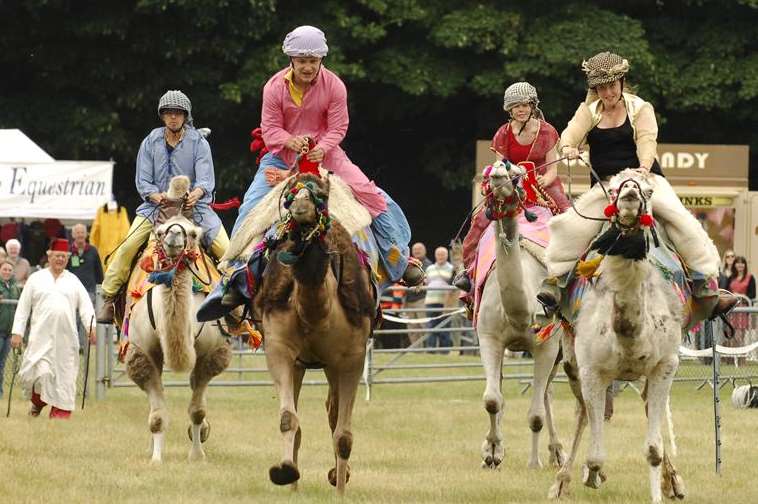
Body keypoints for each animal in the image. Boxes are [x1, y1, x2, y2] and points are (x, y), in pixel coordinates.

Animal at [124, 175, 233, 462]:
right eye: (161, 232)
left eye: (193, 233)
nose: (174, 235)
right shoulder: (142, 352)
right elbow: (157, 416)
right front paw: (156, 457)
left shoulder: (211, 352)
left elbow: (197, 410)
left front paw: (197, 455)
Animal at [254, 171, 376, 494]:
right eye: (289, 195)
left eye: (320, 195)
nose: (301, 206)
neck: (317, 314)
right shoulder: (279, 348)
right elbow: (288, 418)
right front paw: (285, 473)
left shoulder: (353, 356)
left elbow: (344, 434)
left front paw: (341, 492)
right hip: (302, 364)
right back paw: (295, 485)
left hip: (334, 364)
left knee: (334, 412)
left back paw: (337, 477)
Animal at [478, 160, 568, 468]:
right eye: (487, 173)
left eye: (516, 174)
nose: (498, 173)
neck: (520, 313)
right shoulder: (489, 337)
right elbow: (493, 399)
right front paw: (492, 453)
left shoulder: (547, 345)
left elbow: (536, 414)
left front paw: (533, 463)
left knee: (551, 392)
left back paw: (558, 453)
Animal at [548, 170, 684, 504]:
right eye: (610, 190)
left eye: (649, 189)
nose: (630, 195)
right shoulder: (591, 370)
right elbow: (596, 453)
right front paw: (591, 475)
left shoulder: (665, 365)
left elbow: (653, 448)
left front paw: (660, 491)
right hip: (571, 361)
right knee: (582, 411)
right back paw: (563, 481)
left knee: (648, 408)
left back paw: (673, 482)